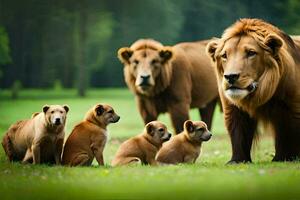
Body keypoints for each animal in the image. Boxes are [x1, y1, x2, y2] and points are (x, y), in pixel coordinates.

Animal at [207, 18, 300, 163]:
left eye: (251, 53)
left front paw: (283, 158)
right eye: (224, 55)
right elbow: (238, 132)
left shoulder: (291, 108)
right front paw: (237, 161)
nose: (230, 76)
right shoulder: (233, 109)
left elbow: (288, 133)